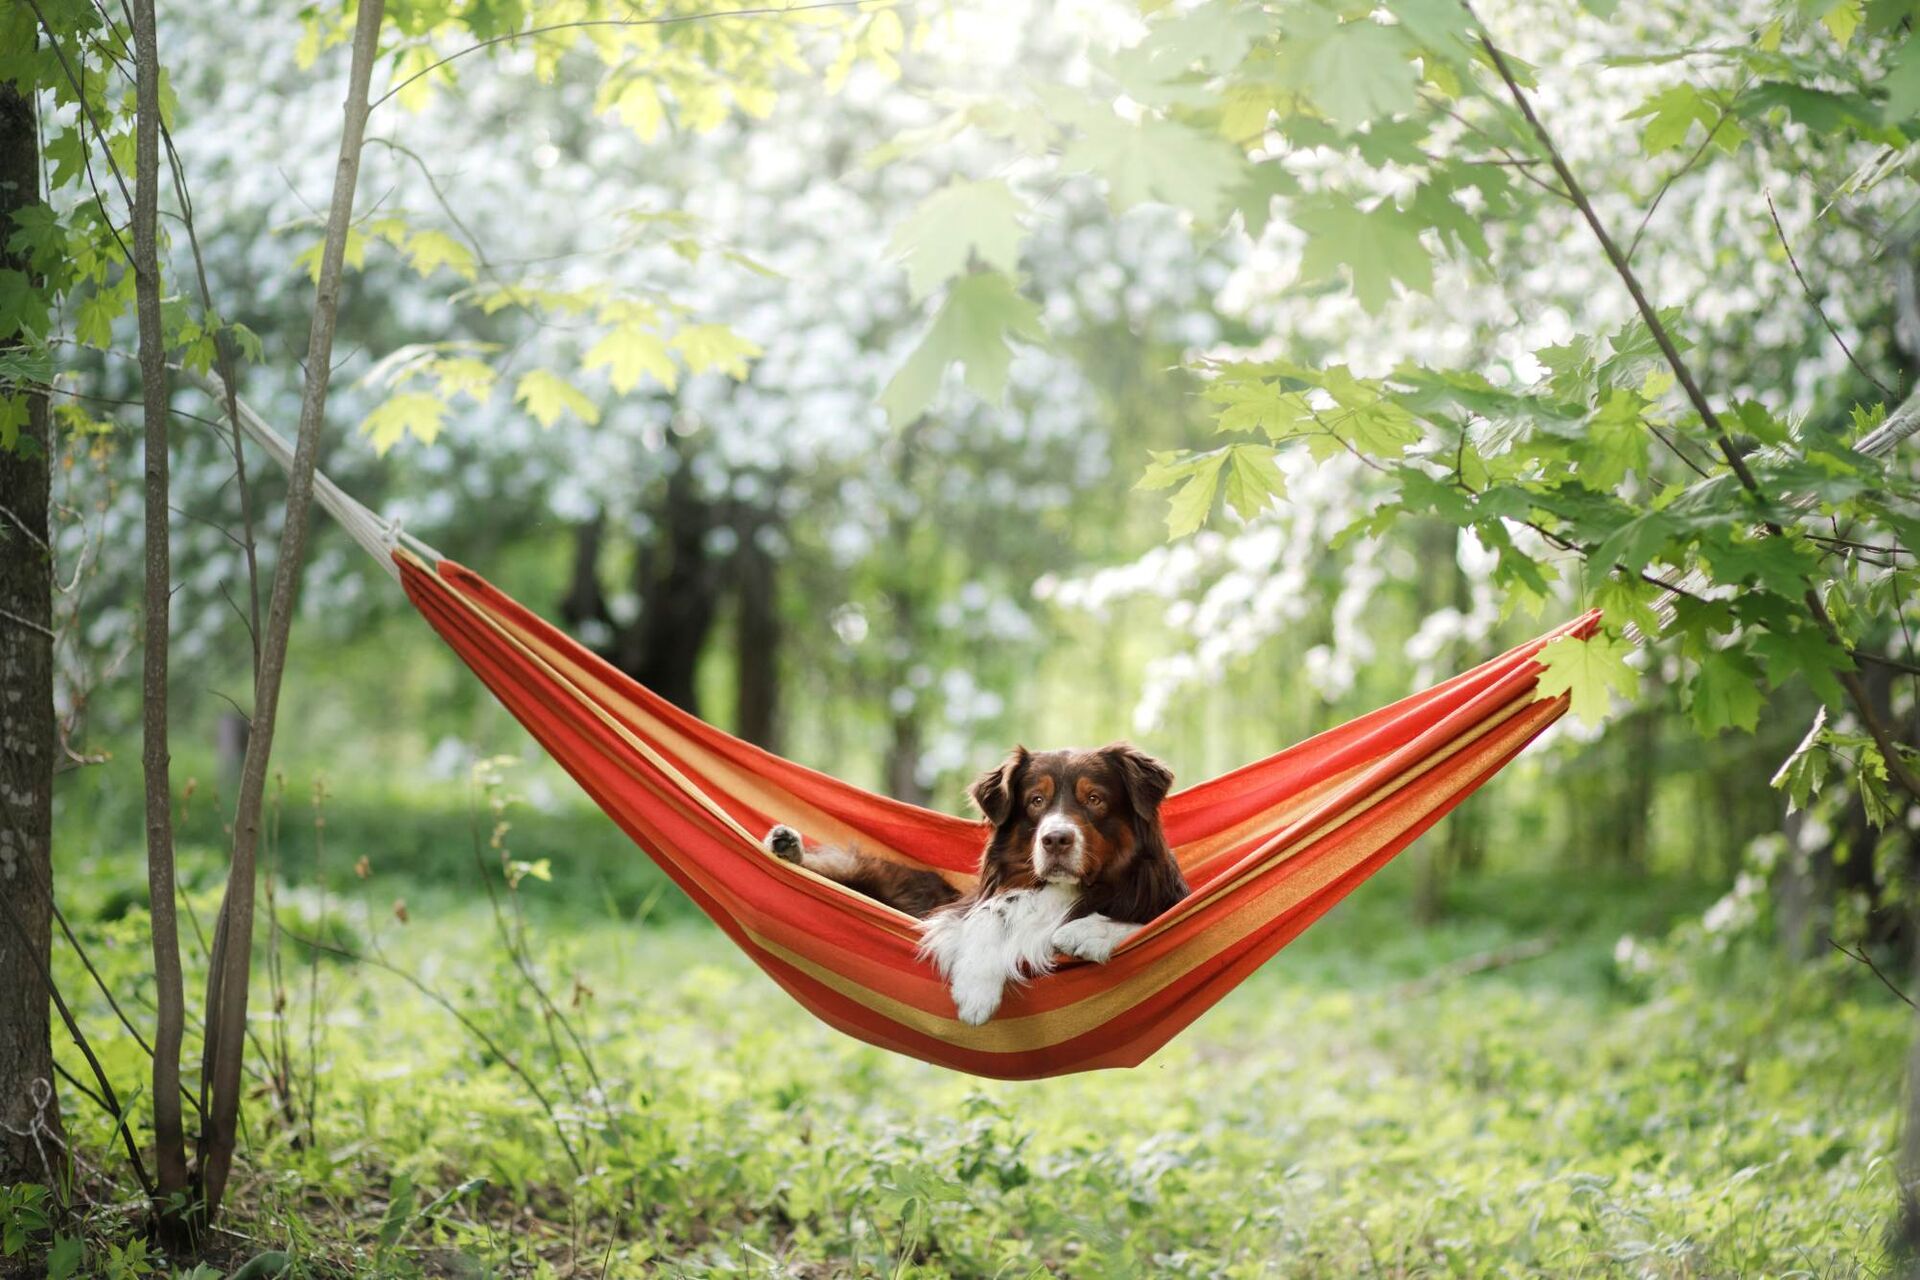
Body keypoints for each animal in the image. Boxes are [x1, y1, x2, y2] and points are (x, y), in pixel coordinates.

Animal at [760, 744, 1182, 1028]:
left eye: (1094, 799)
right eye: (1036, 801)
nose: (1055, 840)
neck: (1065, 888)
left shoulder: (1162, 902)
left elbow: (1137, 920)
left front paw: (1087, 932)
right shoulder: (960, 910)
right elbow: (988, 917)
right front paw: (975, 992)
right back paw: (786, 846)